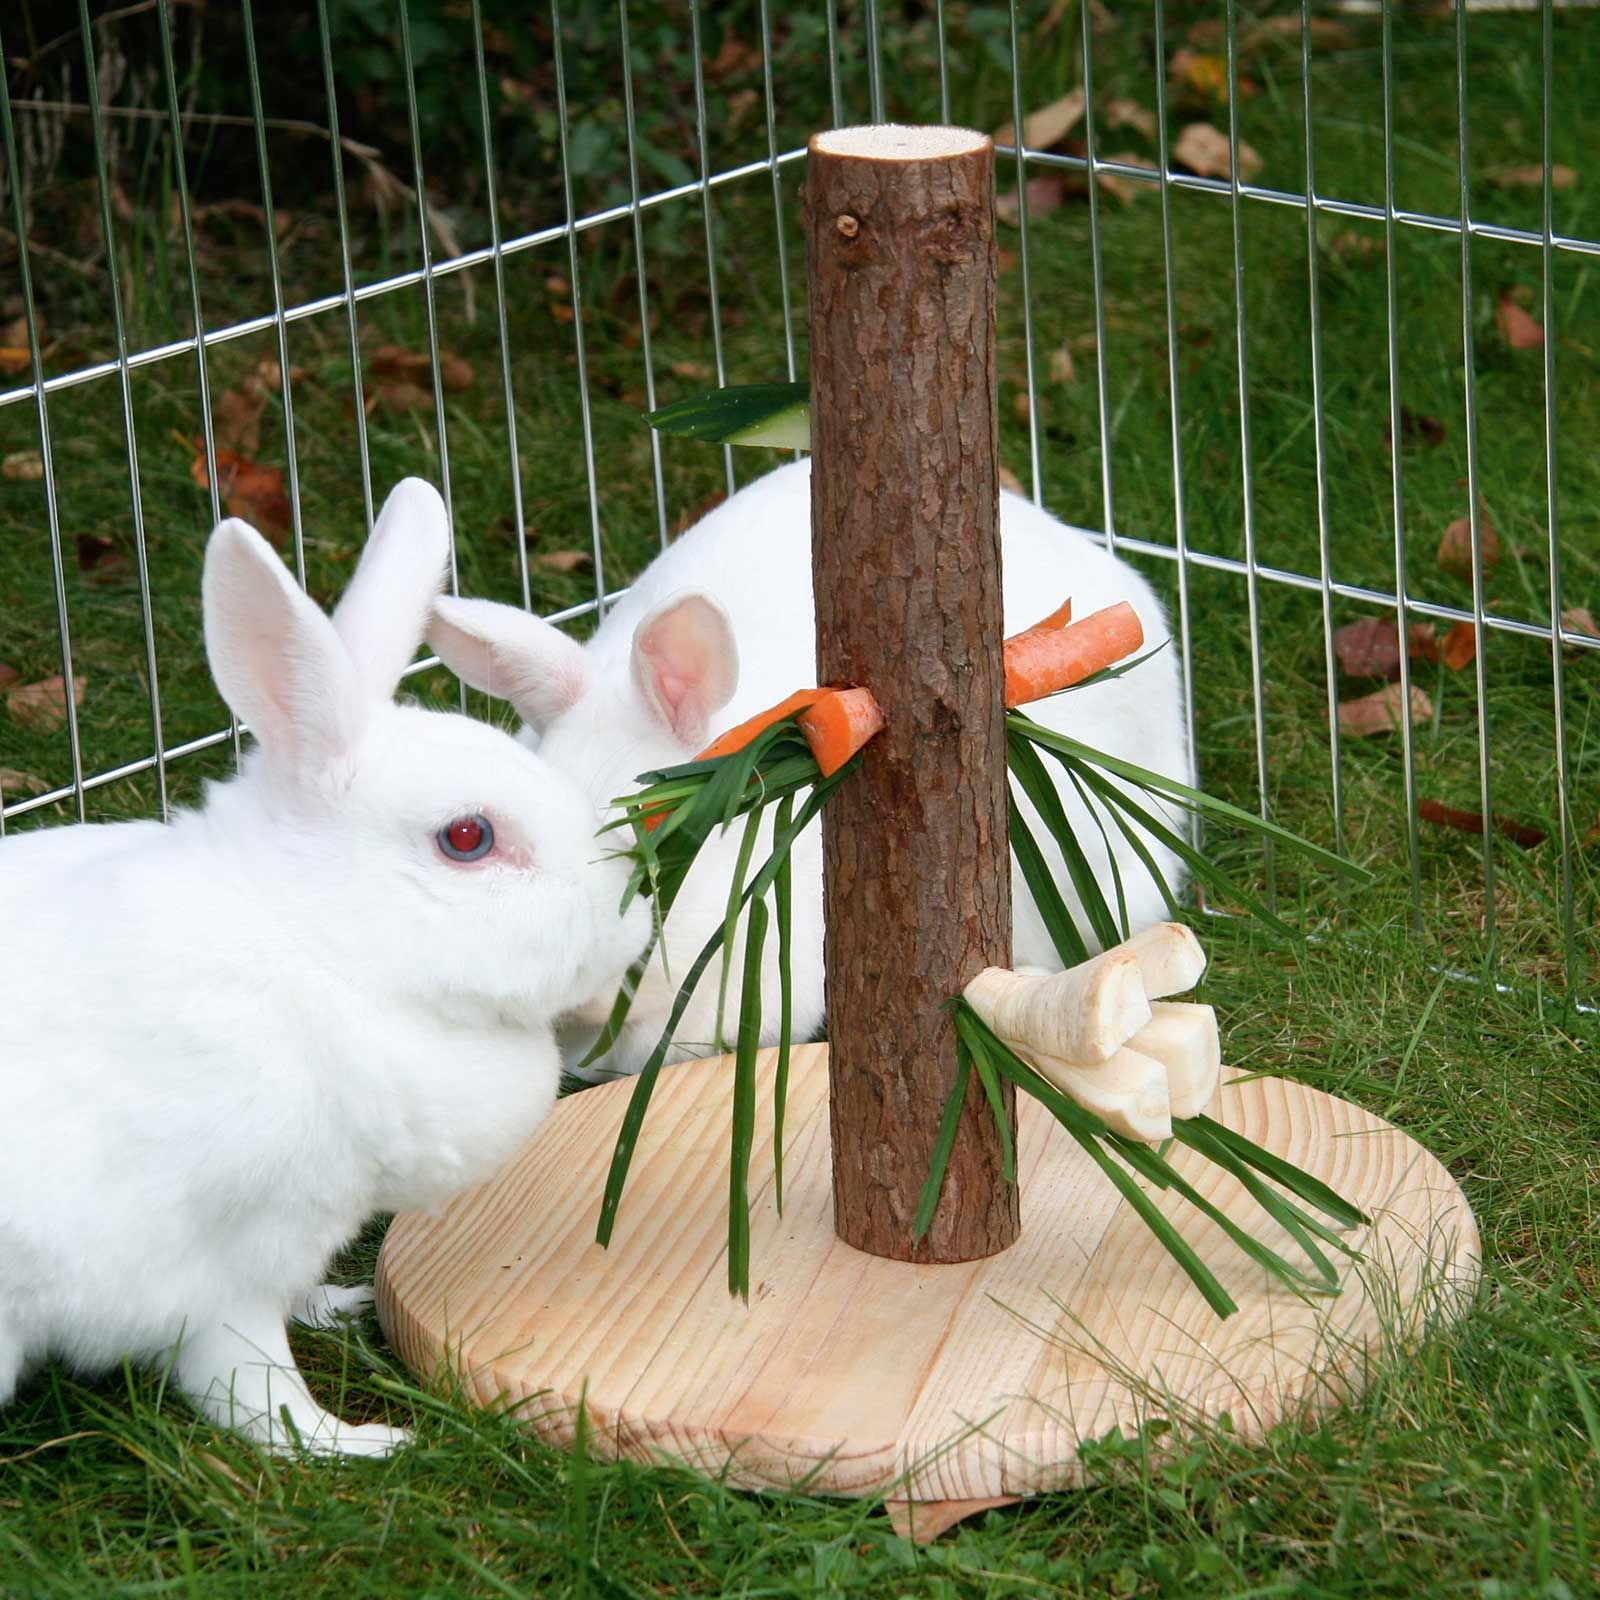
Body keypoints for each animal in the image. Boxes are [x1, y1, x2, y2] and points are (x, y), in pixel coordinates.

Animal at [0, 479, 648, 1456]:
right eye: (469, 838)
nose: (627, 928)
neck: (317, 951)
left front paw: (338, 1305)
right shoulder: (219, 1270)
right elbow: (253, 1387)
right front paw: (362, 1442)